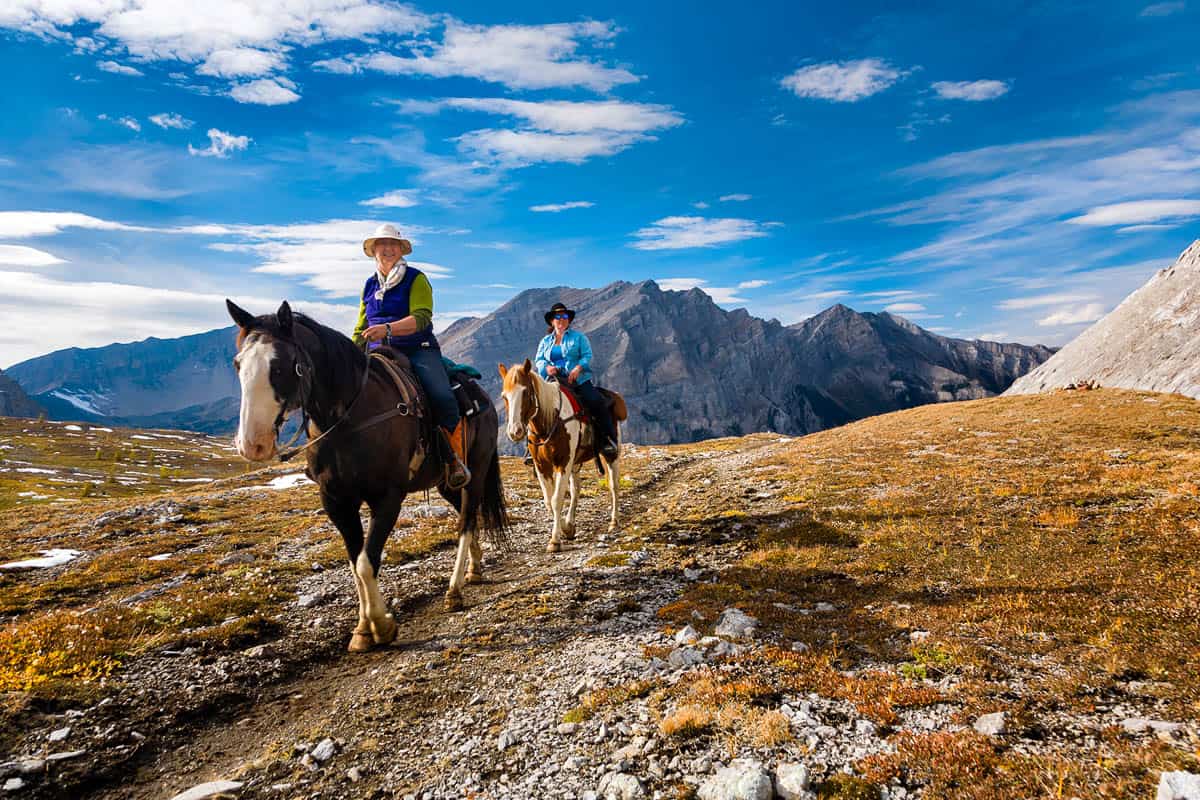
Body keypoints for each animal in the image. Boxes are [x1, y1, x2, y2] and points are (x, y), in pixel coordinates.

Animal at [225, 299, 506, 652]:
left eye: (281, 365)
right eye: (237, 364)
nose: (252, 444)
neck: (348, 419)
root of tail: (482, 396)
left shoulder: (387, 498)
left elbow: (365, 561)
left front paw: (381, 626)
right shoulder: (336, 501)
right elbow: (354, 563)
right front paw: (362, 629)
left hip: (477, 470)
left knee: (467, 521)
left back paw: (453, 591)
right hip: (447, 482)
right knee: (466, 516)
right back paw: (475, 568)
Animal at [496, 362, 628, 554]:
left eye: (526, 392)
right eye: (504, 396)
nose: (515, 432)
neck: (550, 420)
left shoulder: (563, 462)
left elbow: (556, 499)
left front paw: (555, 541)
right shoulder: (542, 466)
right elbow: (548, 501)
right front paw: (566, 528)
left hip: (611, 454)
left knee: (614, 485)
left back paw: (614, 521)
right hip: (575, 462)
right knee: (576, 490)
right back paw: (571, 522)